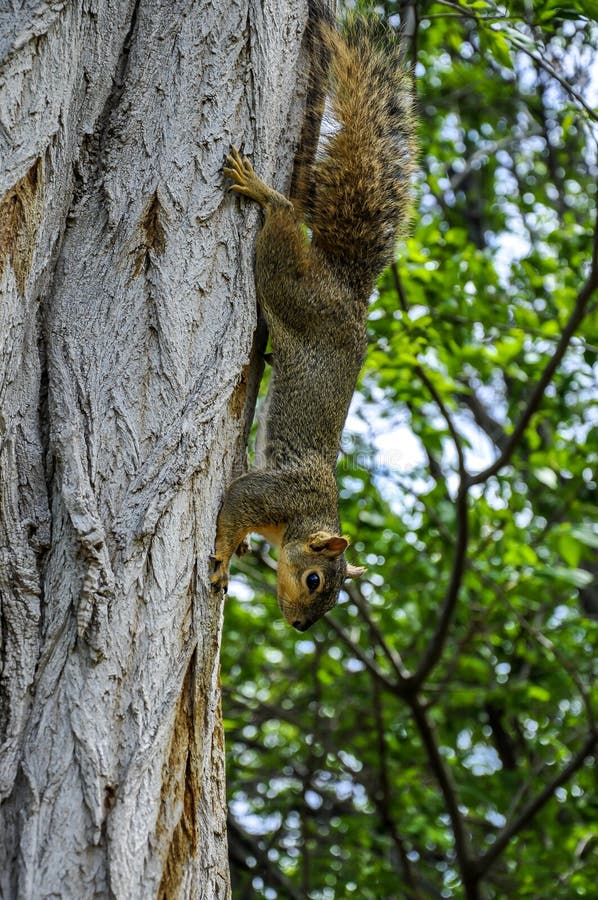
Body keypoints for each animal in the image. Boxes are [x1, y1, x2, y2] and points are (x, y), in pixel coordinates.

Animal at [211, 1, 418, 632]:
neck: (301, 520)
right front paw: (223, 557)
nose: (302, 626)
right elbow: (232, 507)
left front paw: (239, 551)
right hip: (290, 286)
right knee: (283, 217)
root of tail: (349, 294)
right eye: (315, 580)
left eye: (331, 594)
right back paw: (263, 190)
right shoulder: (268, 493)